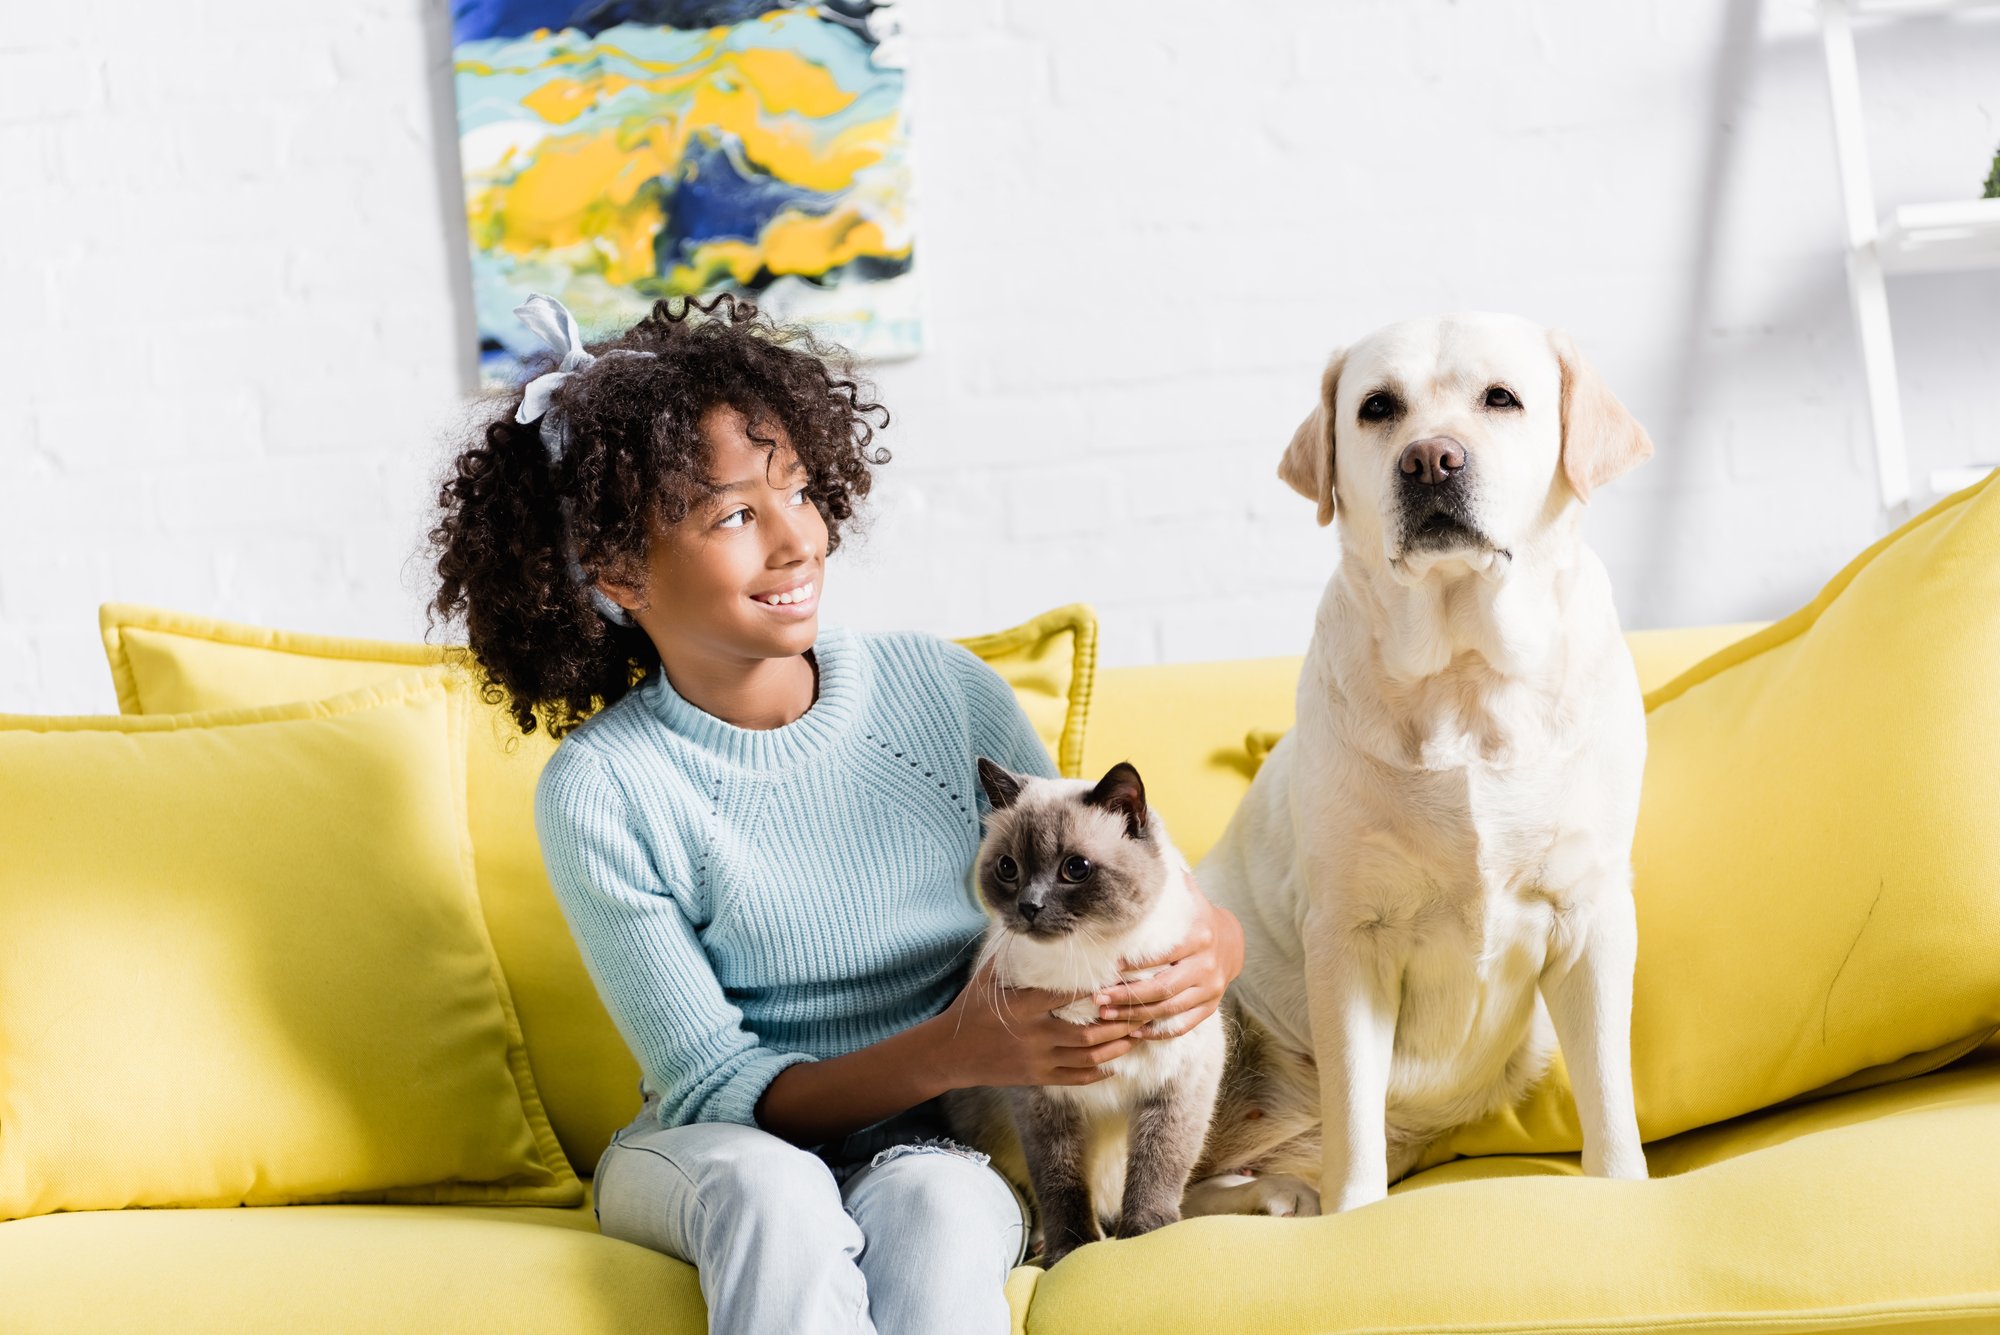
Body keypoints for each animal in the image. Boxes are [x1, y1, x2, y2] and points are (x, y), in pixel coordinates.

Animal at [940, 759, 1232, 1263]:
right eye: (1008, 868)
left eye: (1075, 868)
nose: (1030, 906)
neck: (1087, 967)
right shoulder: (1042, 1100)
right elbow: (1061, 1183)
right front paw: (1070, 1252)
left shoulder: (1176, 1084)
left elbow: (1157, 1168)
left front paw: (1145, 1236)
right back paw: (1043, 1244)